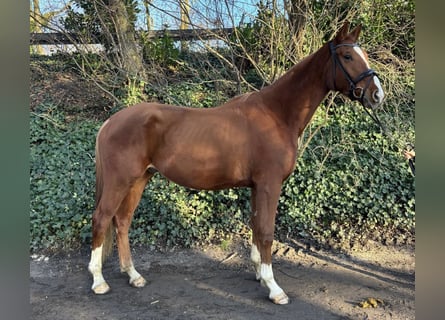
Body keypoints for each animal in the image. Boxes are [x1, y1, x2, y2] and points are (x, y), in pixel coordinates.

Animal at [88, 21, 384, 304]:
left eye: (364, 55)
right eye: (347, 56)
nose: (377, 95)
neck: (276, 114)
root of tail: (110, 122)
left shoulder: (256, 186)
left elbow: (255, 226)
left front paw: (259, 275)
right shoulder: (269, 184)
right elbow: (266, 231)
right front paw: (274, 288)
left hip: (139, 179)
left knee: (122, 221)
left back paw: (133, 275)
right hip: (120, 181)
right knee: (102, 219)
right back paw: (99, 281)